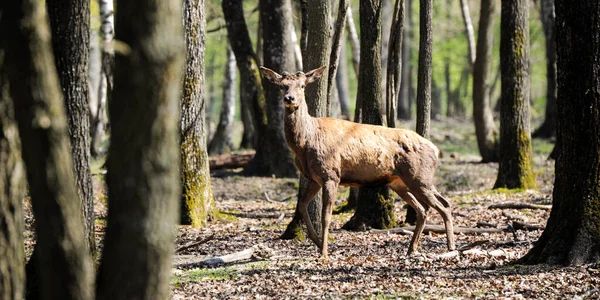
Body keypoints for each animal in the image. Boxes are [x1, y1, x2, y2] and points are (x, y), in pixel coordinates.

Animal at [260, 65, 458, 258]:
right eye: (282, 85)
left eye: (302, 85)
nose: (289, 98)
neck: (306, 142)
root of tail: (435, 149)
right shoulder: (314, 178)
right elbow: (302, 205)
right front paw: (316, 242)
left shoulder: (331, 174)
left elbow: (326, 216)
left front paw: (324, 252)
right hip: (401, 182)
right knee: (425, 209)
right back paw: (412, 249)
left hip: (419, 176)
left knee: (442, 205)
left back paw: (450, 247)